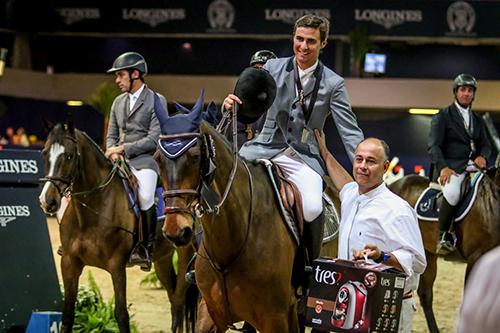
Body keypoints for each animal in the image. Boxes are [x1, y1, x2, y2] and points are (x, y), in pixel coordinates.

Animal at [38, 121, 197, 332]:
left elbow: (121, 315)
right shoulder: (69, 263)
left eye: (70, 156)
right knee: (173, 298)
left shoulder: (117, 265)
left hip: (186, 252)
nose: (47, 202)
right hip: (162, 258)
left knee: (179, 300)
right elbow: (67, 315)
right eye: (44, 153)